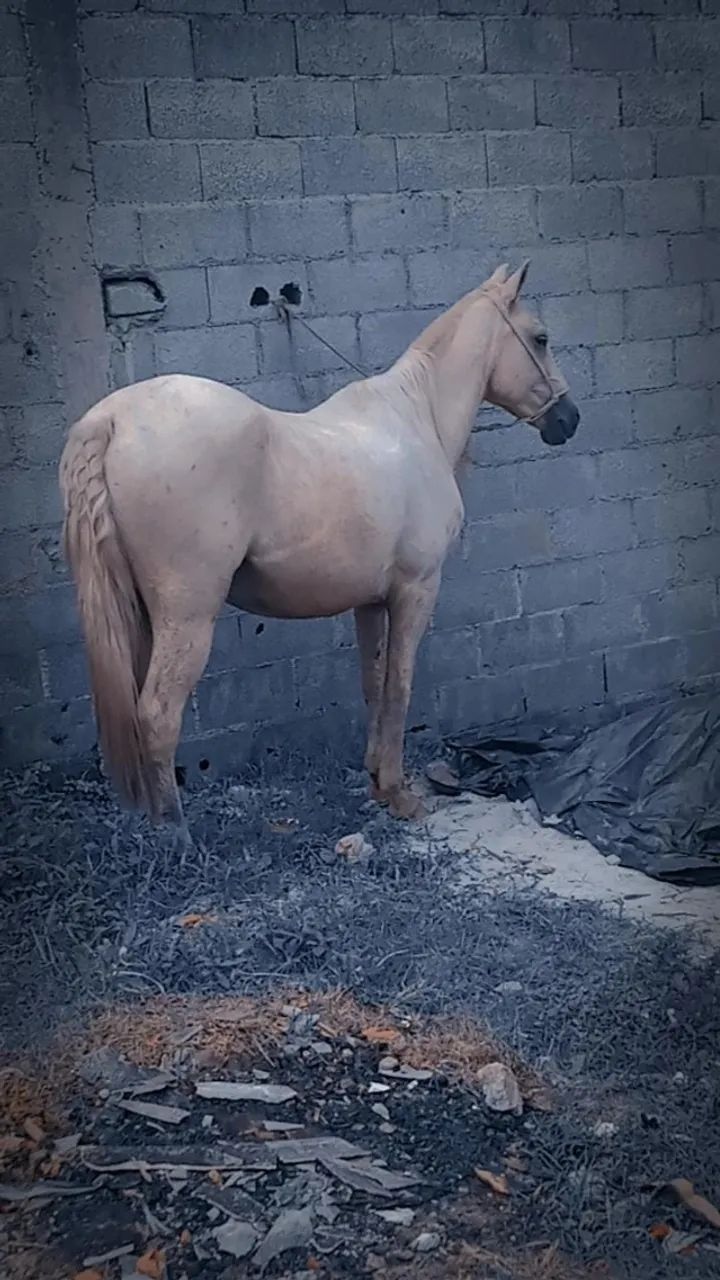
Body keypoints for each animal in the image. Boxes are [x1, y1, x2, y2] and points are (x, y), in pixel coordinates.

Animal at [59, 261, 579, 838]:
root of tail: (110, 421)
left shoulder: (371, 601)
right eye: (540, 338)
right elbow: (399, 684)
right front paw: (401, 795)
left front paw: (377, 782)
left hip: (144, 615)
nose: (568, 419)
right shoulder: (416, 590)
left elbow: (374, 683)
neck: (416, 419)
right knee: (156, 714)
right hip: (187, 616)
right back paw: (176, 834)